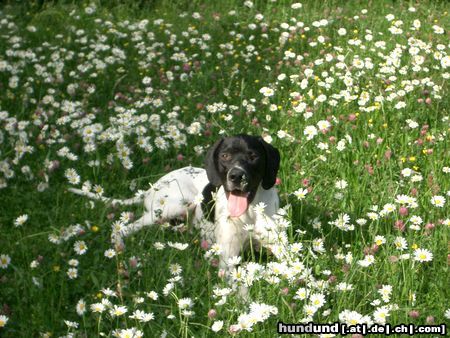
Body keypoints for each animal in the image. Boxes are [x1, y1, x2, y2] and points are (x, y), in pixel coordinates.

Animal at [69, 133, 282, 270]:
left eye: (253, 156)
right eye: (225, 155)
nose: (237, 176)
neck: (250, 212)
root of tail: (151, 187)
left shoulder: (282, 248)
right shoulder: (228, 259)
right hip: (176, 204)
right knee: (122, 228)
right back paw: (120, 247)